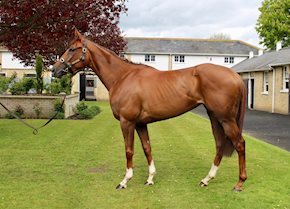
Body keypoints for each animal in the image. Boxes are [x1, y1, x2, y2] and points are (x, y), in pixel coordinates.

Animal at [52, 30, 247, 192]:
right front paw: (150, 179)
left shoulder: (127, 122)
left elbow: (129, 150)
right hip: (215, 117)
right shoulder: (140, 124)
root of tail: (234, 76)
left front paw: (125, 181)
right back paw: (206, 179)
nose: (55, 69)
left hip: (226, 119)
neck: (122, 77)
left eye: (72, 49)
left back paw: (239, 184)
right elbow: (147, 148)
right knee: (220, 144)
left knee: (239, 144)